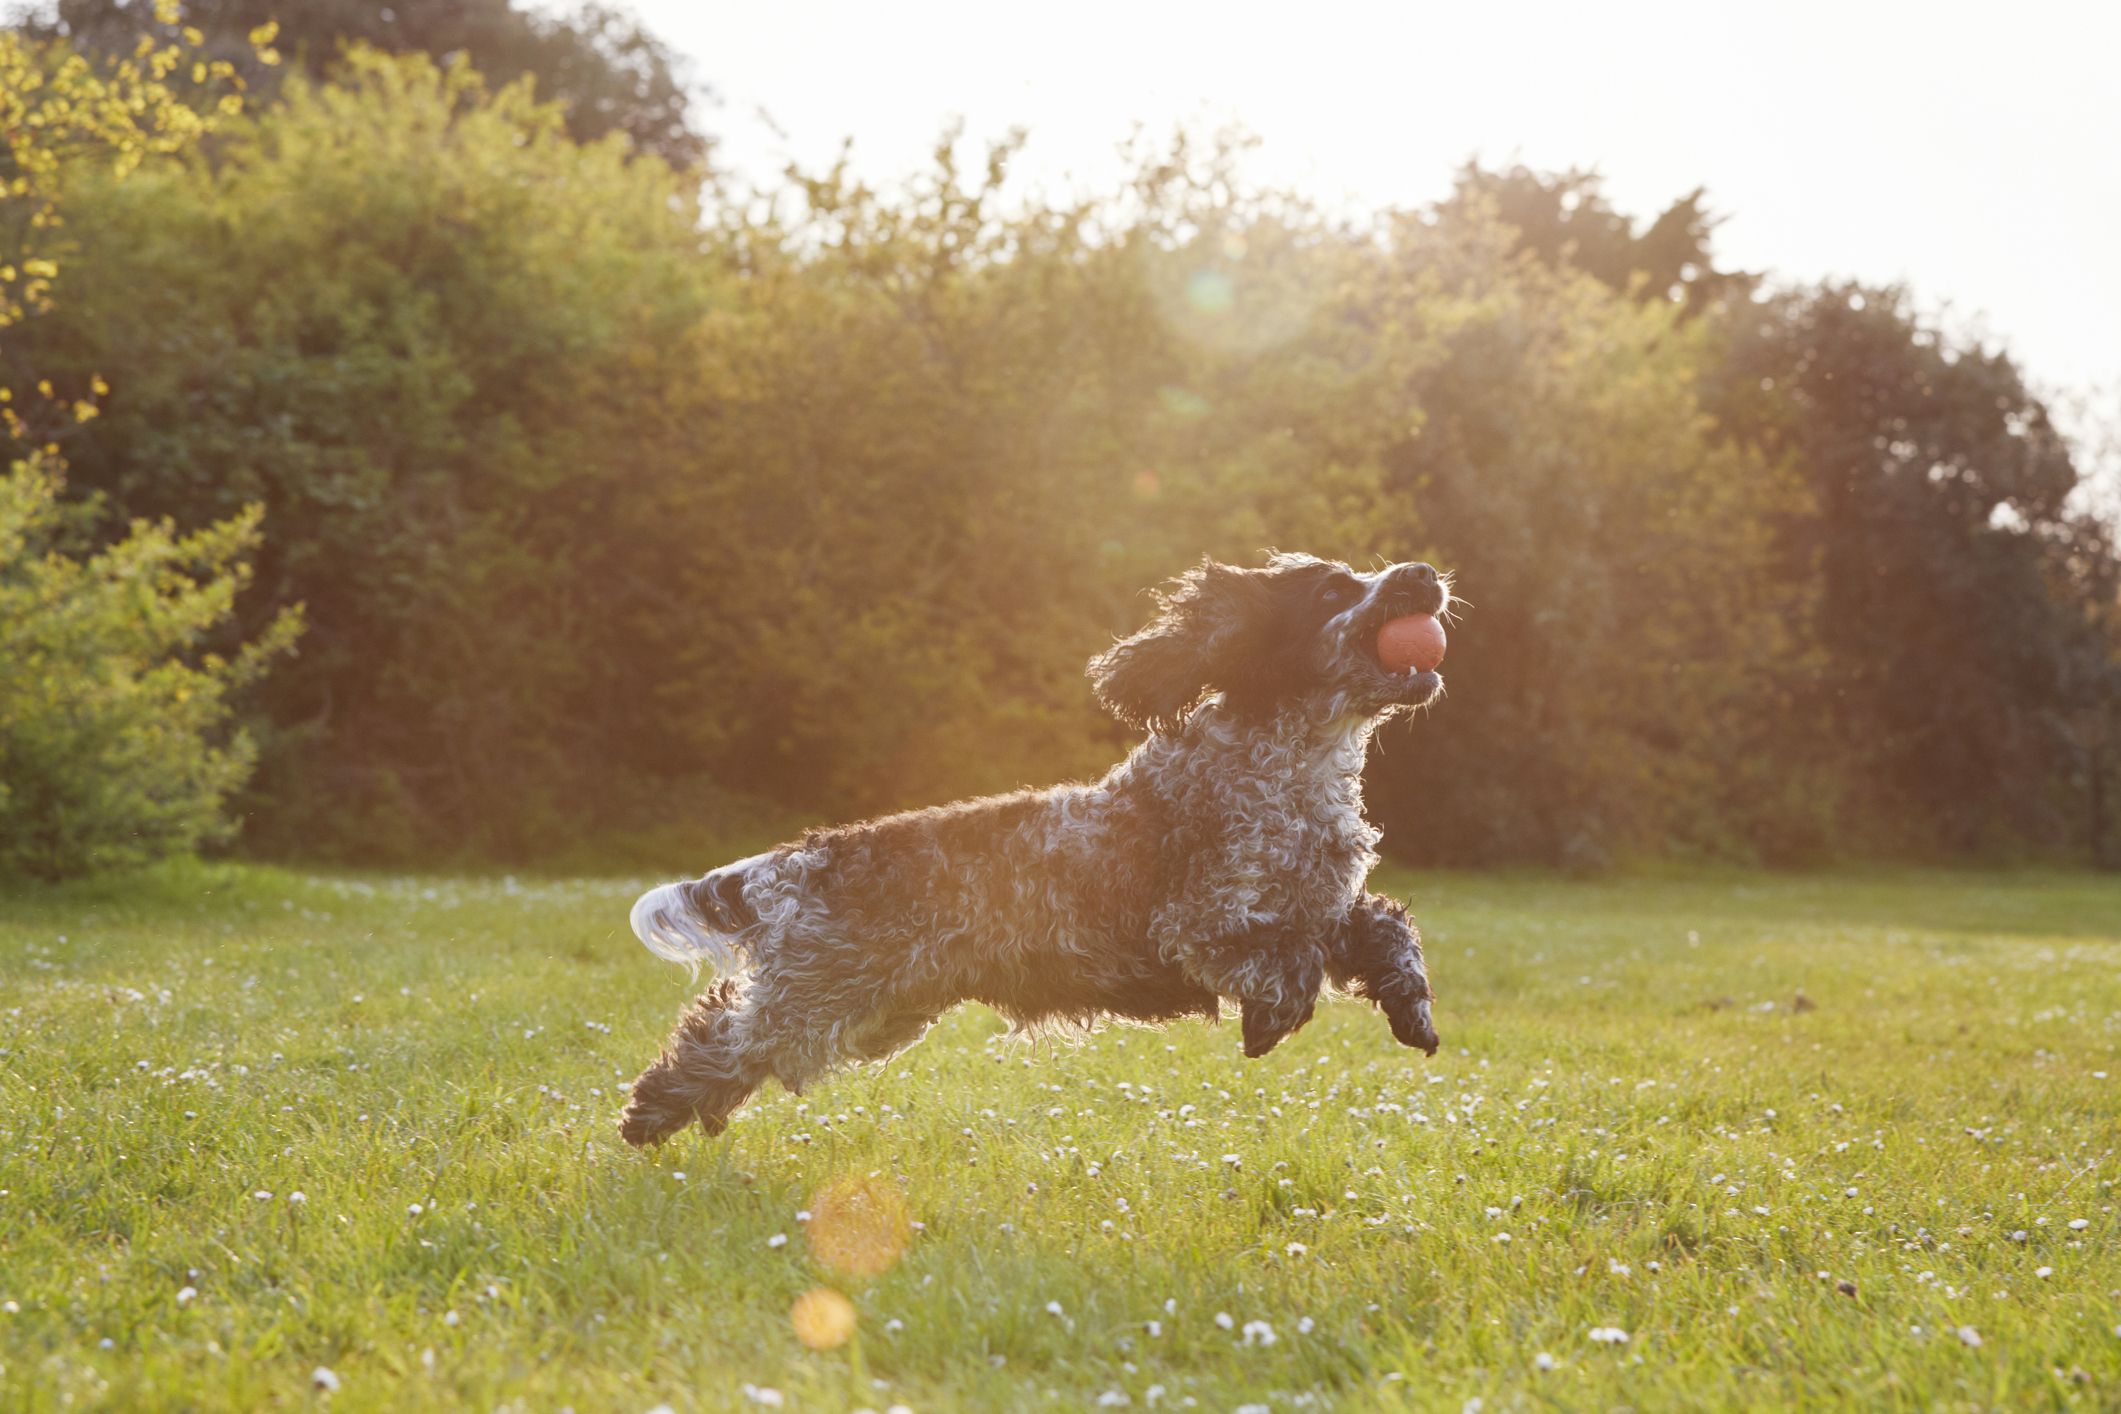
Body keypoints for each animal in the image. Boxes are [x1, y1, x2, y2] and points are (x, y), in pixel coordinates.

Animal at [615, 555, 1442, 1153]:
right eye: (1332, 587)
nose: (1422, 573)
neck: (1293, 766)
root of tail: (806, 858)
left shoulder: (1325, 907)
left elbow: (1387, 931)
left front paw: (1413, 1013)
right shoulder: (1201, 923)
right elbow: (1290, 963)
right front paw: (1267, 1024)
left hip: (873, 1010)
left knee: (727, 1037)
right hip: (820, 995)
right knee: (721, 1035)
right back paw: (647, 1117)